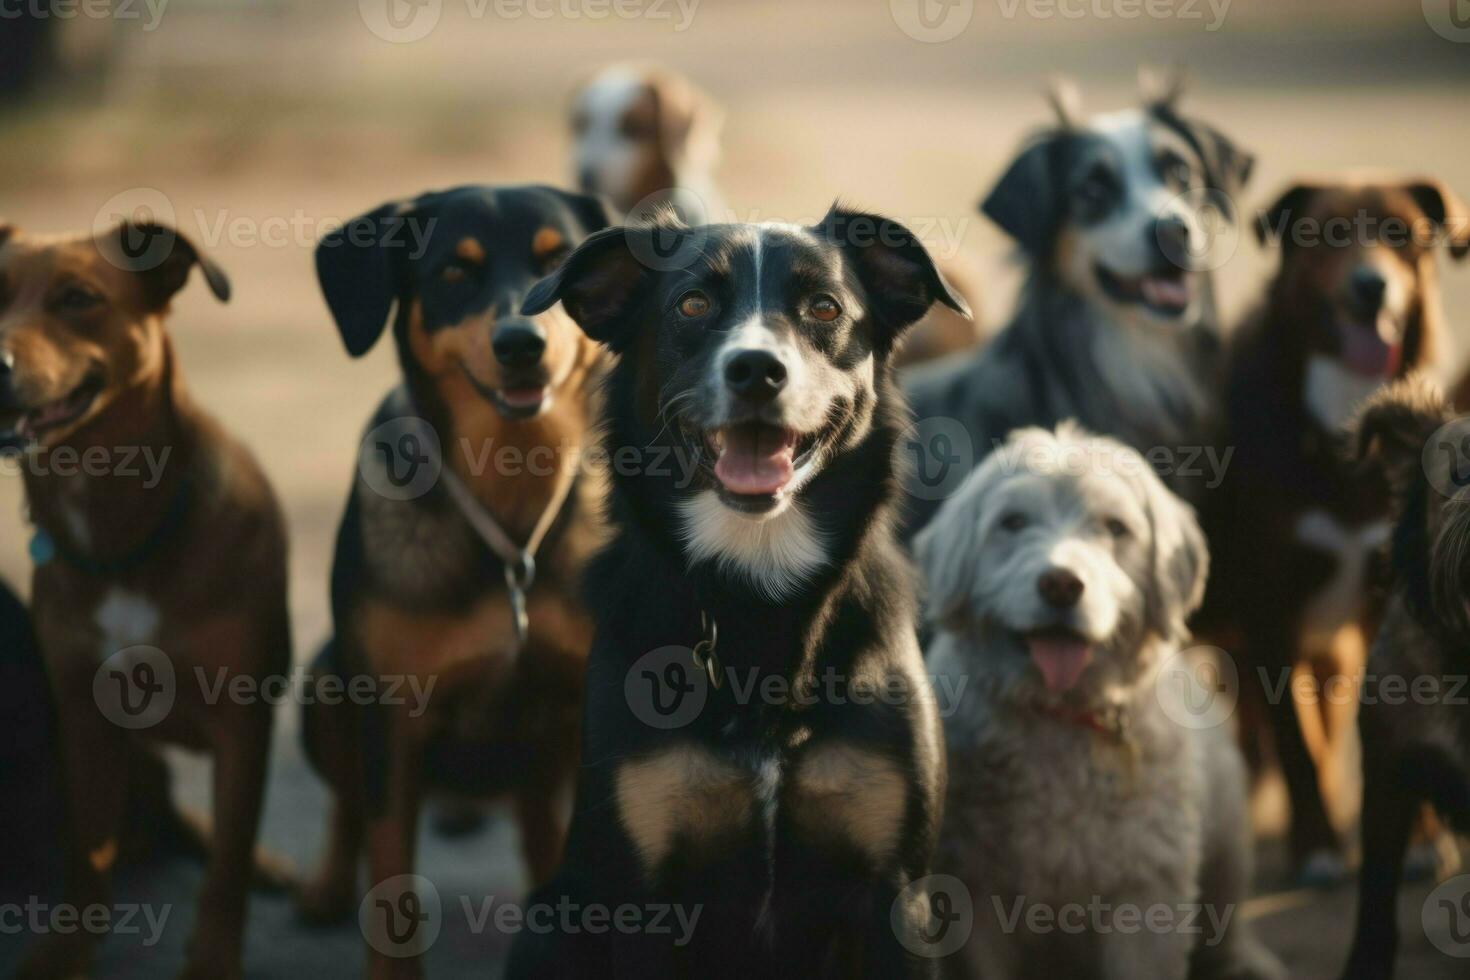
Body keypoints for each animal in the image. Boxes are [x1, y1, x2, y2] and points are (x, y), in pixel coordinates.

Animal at [0, 221, 289, 980]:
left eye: (78, 298)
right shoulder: (81, 716)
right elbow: (86, 852)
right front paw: (67, 949)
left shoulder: (242, 722)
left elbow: (225, 868)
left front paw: (213, 959)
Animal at [511, 205, 970, 975]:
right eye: (692, 305)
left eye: (825, 308)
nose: (757, 369)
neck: (759, 587)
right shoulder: (641, 895)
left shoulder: (898, 892)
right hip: (549, 921)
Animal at [917, 426, 1275, 980]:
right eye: (1012, 522)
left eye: (1115, 527)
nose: (1061, 583)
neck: (1062, 714)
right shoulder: (974, 894)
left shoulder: (1148, 890)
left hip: (1229, 839)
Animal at [1205, 176, 1470, 881]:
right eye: (1325, 233)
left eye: (1400, 232)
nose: (1370, 286)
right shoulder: (1270, 607)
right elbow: (1298, 741)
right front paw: (1319, 845)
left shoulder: (1385, 602)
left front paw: (1422, 840)